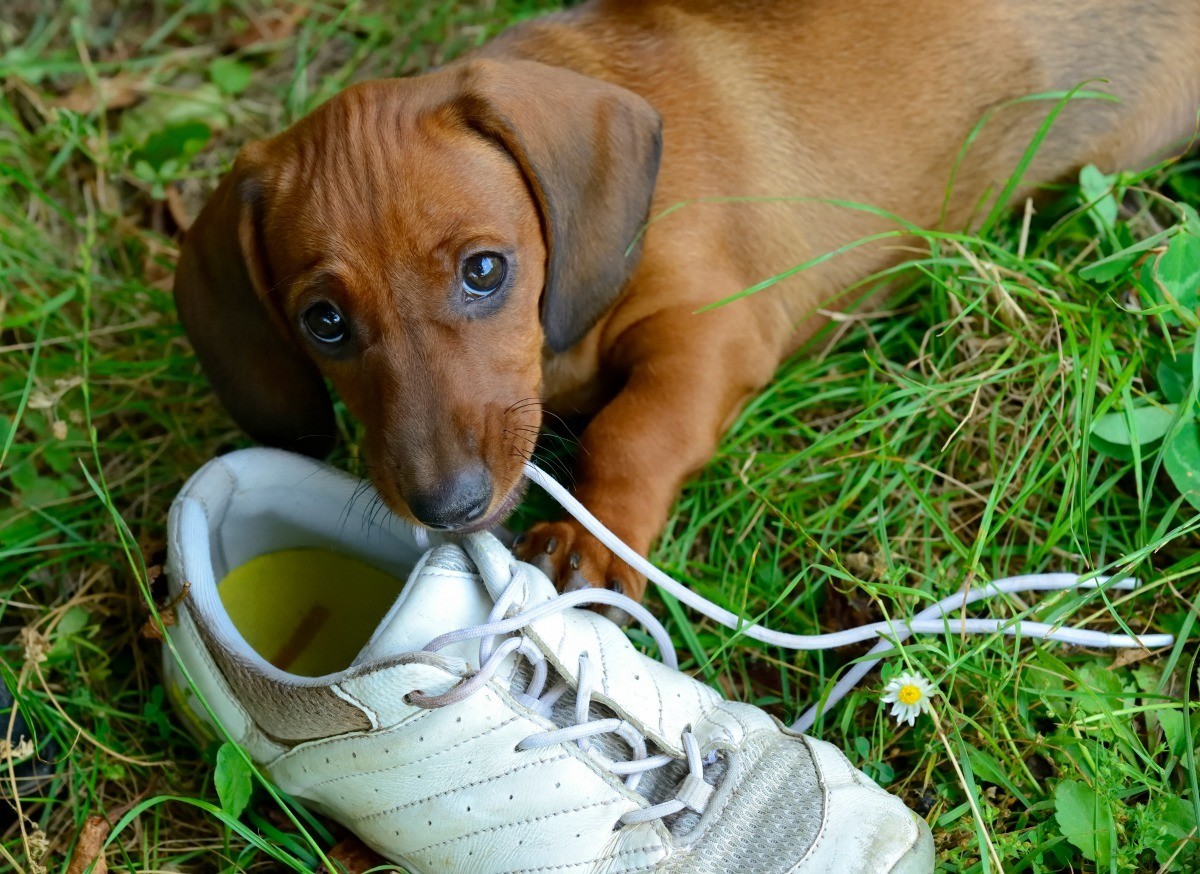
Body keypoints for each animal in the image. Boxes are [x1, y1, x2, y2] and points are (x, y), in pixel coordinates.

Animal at [171, 0, 1200, 600]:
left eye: (485, 271)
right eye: (324, 323)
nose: (451, 506)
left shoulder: (711, 333)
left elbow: (636, 431)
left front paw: (593, 537)